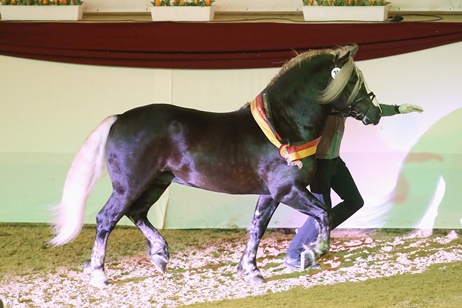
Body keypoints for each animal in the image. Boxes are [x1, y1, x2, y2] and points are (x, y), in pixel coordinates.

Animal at [50, 44, 382, 288]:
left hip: (157, 182)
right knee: (106, 219)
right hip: (129, 185)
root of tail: (119, 118)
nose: (375, 112)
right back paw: (99, 274)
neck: (283, 125)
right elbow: (324, 213)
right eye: (353, 80)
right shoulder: (288, 190)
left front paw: (250, 271)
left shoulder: (270, 194)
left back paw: (160, 255)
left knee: (137, 213)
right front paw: (313, 253)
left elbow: (257, 228)